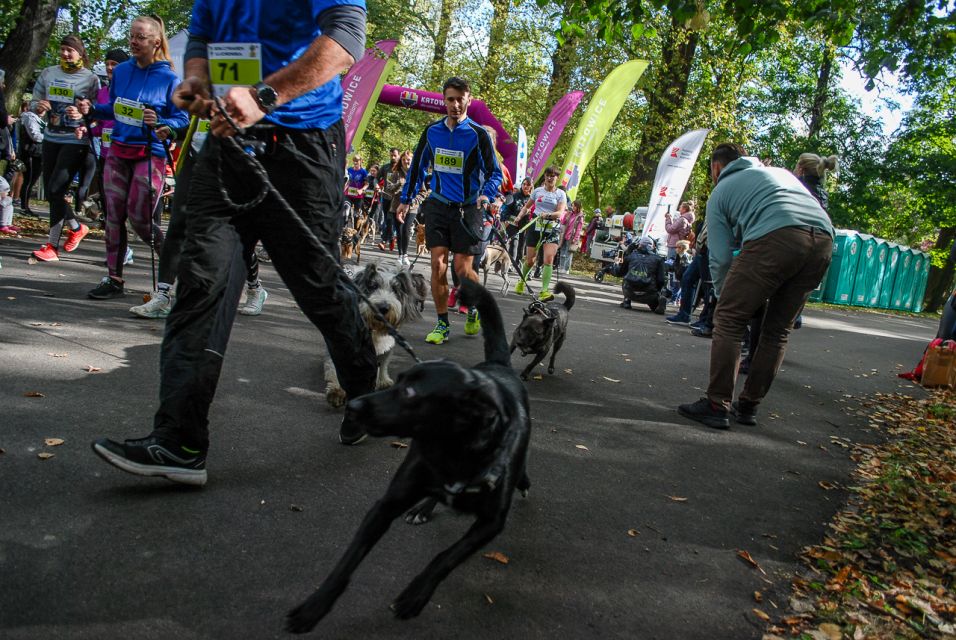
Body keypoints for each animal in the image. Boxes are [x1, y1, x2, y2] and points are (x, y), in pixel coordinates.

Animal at [326, 262, 428, 404]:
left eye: (395, 290)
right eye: (373, 286)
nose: (383, 308)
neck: (373, 328)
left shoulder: (388, 344)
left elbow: (384, 361)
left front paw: (383, 380)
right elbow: (335, 366)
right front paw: (336, 390)